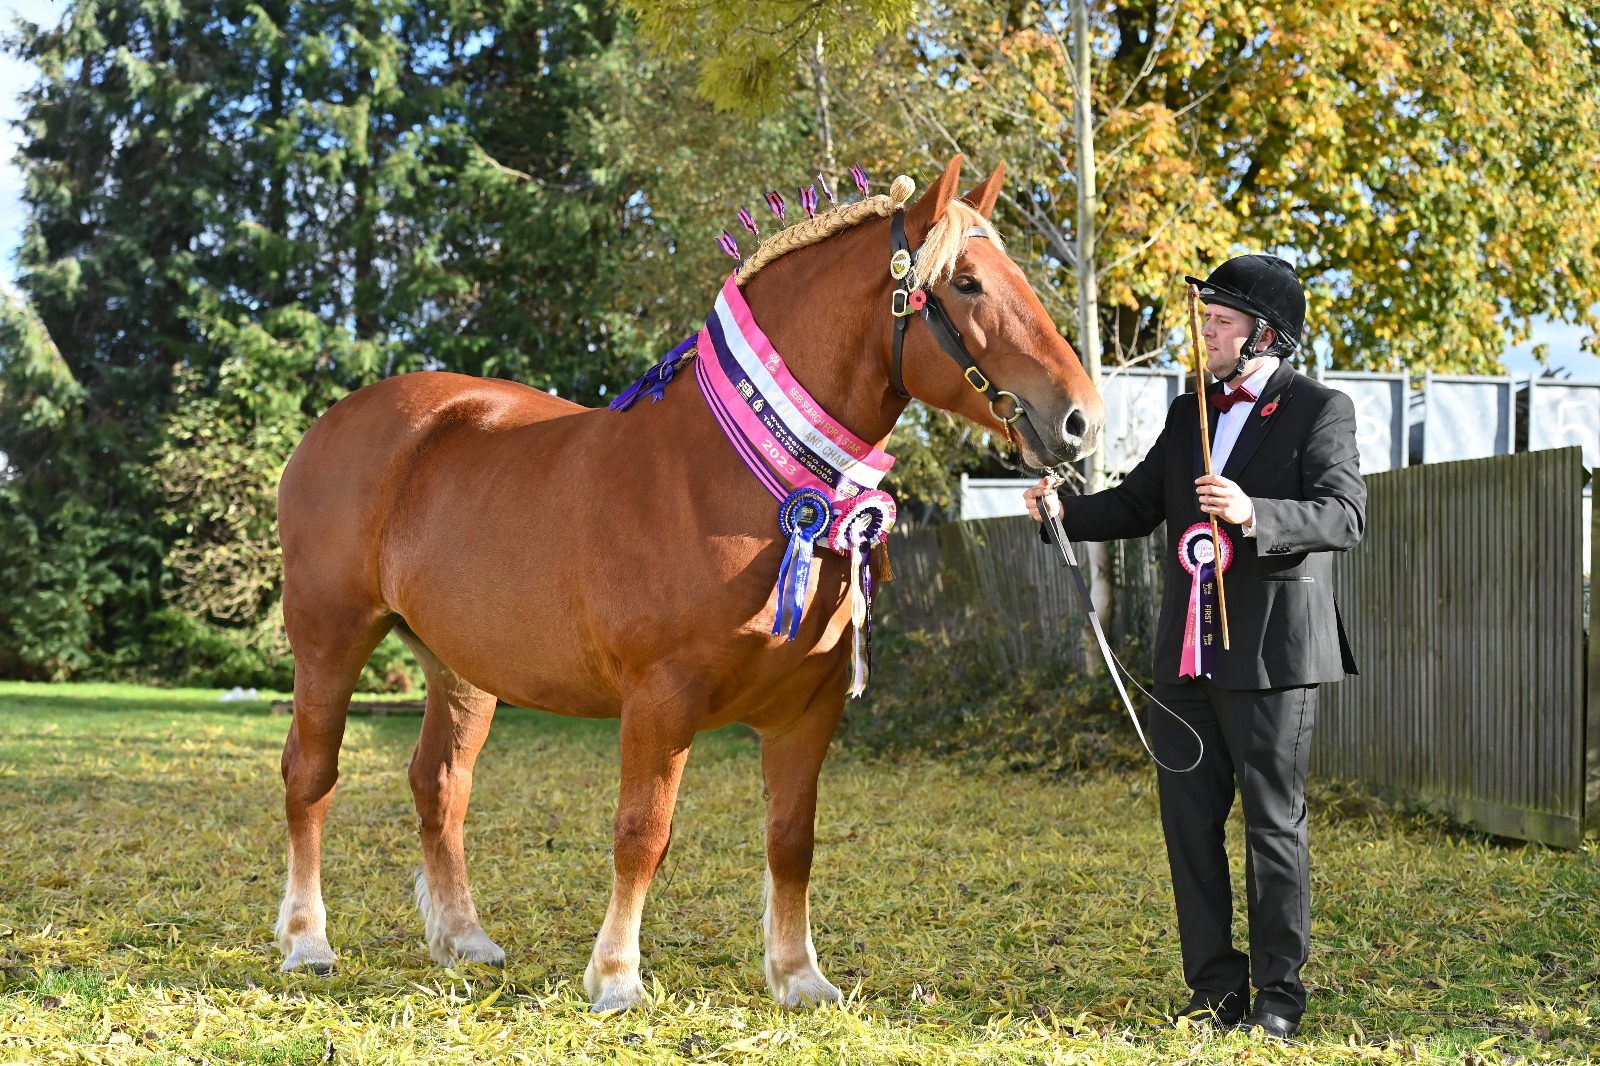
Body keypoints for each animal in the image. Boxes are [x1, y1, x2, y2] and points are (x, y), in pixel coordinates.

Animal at [272, 153, 1100, 1011]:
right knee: (311, 776)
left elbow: (791, 840)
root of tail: (334, 425)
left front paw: (799, 976)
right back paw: (307, 942)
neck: (738, 477)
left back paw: (464, 939)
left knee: (440, 785)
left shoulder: (811, 709)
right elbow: (642, 834)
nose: (1081, 420)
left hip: (460, 669)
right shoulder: (660, 700)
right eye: (965, 282)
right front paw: (615, 977)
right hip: (330, 640)